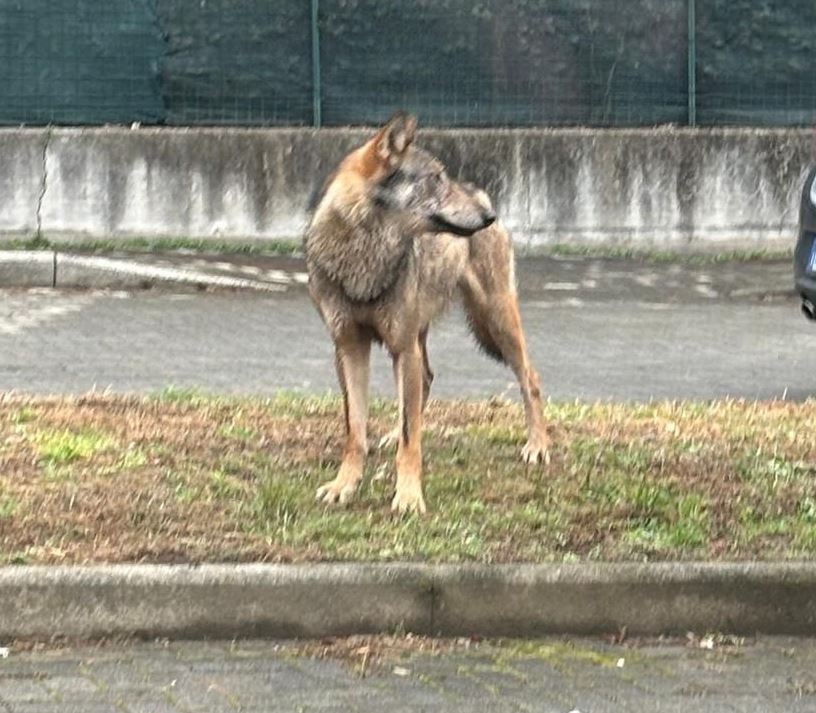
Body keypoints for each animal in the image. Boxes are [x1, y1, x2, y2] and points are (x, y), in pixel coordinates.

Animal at [305, 112, 549, 514]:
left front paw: (407, 497)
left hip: (495, 320)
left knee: (530, 377)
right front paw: (344, 486)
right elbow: (356, 430)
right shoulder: (349, 347)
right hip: (418, 338)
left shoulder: (401, 346)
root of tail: (481, 191)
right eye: (436, 178)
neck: (365, 255)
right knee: (424, 384)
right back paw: (389, 434)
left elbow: (411, 438)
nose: (488, 216)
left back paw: (538, 446)